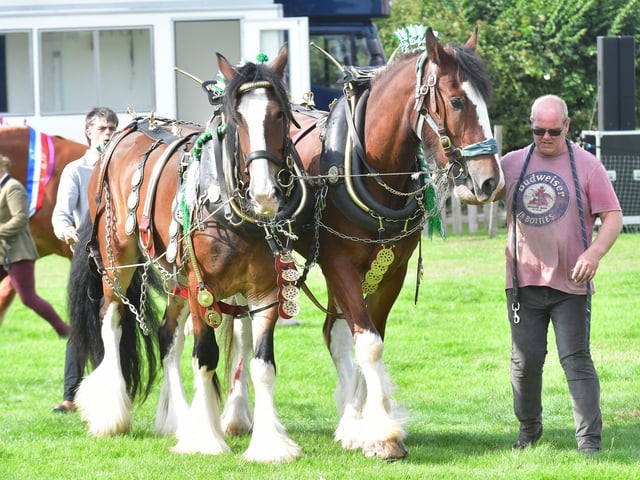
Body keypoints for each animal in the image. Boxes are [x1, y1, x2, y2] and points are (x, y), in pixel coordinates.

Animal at [68, 46, 309, 463]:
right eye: (236, 119)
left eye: (279, 114)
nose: (264, 194)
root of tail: (124, 133)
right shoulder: (203, 288)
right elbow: (205, 356)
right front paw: (205, 438)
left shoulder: (266, 292)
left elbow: (262, 364)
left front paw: (269, 444)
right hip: (118, 260)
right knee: (111, 320)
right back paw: (111, 414)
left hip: (173, 273)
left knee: (167, 336)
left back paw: (176, 418)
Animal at [227, 26, 503, 459]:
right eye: (457, 101)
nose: (490, 181)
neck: (368, 165)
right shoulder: (339, 264)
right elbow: (368, 343)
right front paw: (381, 435)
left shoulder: (391, 271)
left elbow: (369, 339)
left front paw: (361, 423)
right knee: (242, 332)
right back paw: (236, 415)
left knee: (334, 333)